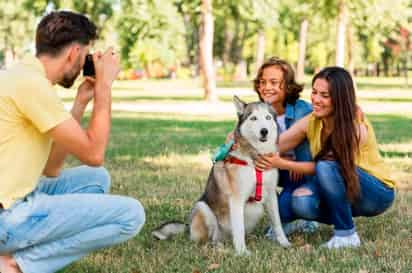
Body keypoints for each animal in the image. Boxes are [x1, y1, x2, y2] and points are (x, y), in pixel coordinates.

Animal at [153, 96, 292, 255]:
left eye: (268, 117)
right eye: (254, 118)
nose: (264, 131)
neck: (255, 159)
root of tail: (187, 227)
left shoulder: (271, 196)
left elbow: (277, 223)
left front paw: (284, 243)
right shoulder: (236, 199)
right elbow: (239, 229)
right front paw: (242, 253)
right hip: (203, 208)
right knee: (208, 240)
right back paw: (219, 248)